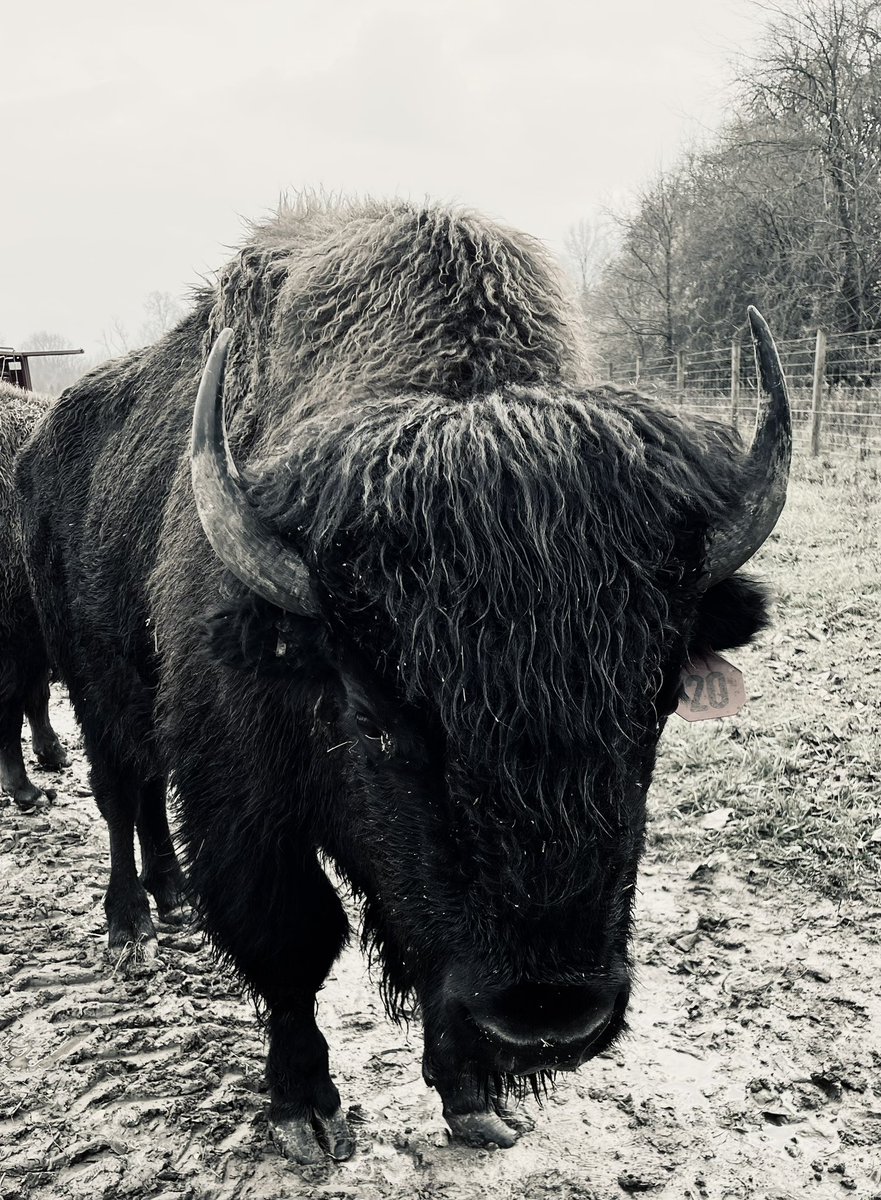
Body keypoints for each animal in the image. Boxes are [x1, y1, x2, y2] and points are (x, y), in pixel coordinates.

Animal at [16, 199, 790, 1163]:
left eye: (653, 709)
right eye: (375, 720)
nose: (548, 1019)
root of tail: (45, 438)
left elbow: (421, 945)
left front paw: (473, 1100)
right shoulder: (246, 803)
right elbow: (293, 937)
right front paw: (305, 1110)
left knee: (148, 803)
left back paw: (174, 898)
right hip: (90, 688)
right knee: (122, 792)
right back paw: (132, 927)